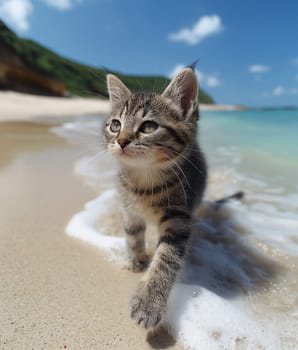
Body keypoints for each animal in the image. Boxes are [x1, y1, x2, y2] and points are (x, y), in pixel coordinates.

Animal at [103, 68, 206, 328]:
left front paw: (149, 301)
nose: (121, 140)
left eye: (148, 127)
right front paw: (137, 259)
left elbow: (165, 260)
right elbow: (132, 236)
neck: (142, 180)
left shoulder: (178, 220)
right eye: (115, 125)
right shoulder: (129, 210)